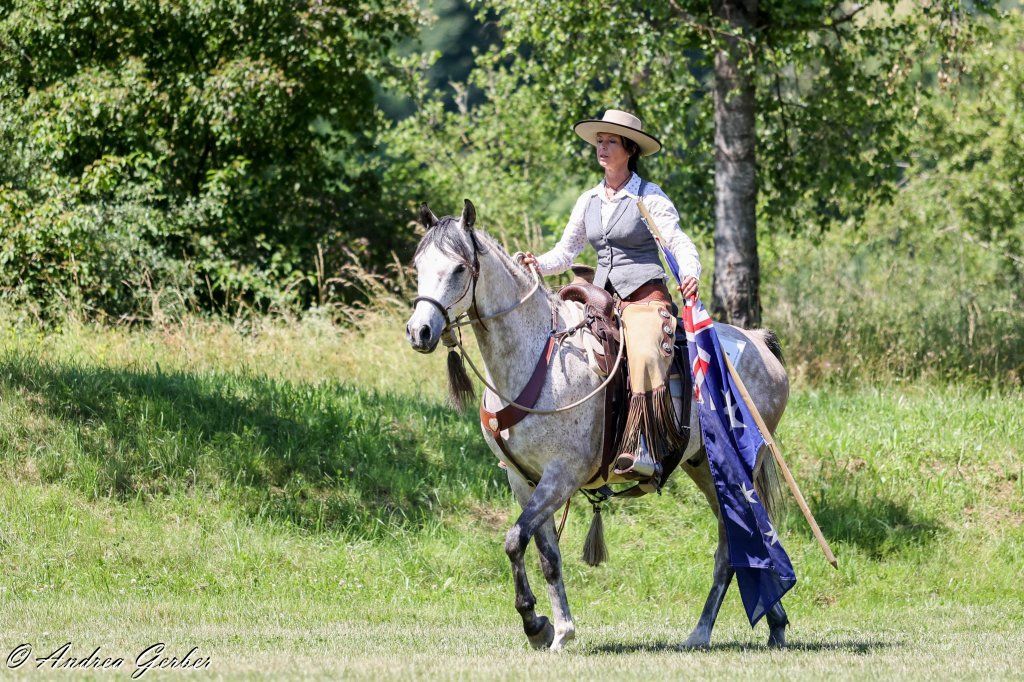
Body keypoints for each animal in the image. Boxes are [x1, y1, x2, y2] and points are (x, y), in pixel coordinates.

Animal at [405, 200, 791, 651]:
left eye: (459, 268)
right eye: (419, 264)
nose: (419, 331)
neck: (537, 360)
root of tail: (758, 342)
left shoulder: (562, 476)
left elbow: (514, 540)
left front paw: (537, 624)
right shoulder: (523, 480)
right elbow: (546, 556)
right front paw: (555, 629)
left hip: (735, 470)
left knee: (734, 547)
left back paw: (704, 632)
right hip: (703, 469)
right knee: (740, 541)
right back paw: (768, 623)